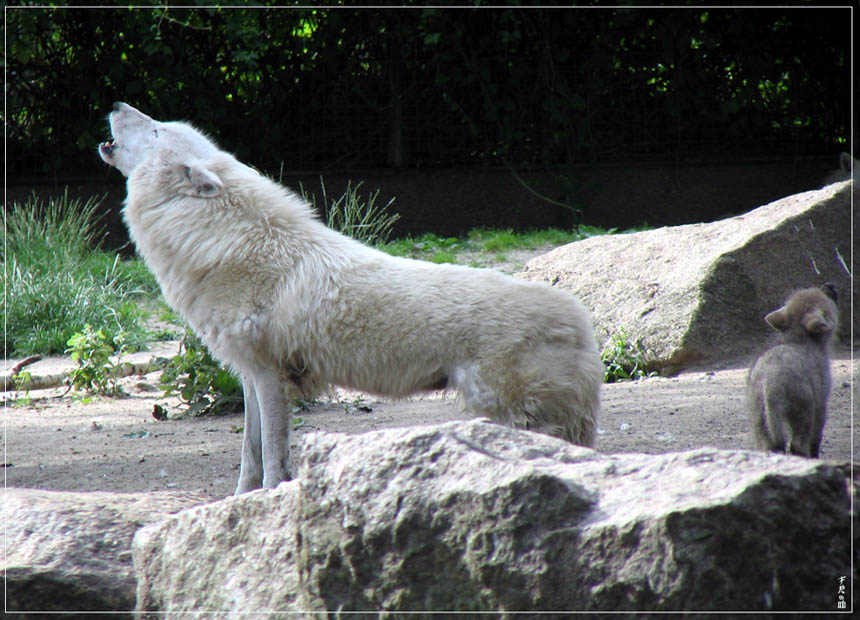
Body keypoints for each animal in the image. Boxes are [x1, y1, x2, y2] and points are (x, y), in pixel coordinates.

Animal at [97, 103, 600, 494]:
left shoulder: (269, 377)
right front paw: (238, 502)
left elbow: (273, 456)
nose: (117, 103)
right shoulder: (249, 378)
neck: (228, 244)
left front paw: (266, 501)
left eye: (156, 129)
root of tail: (580, 320)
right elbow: (250, 454)